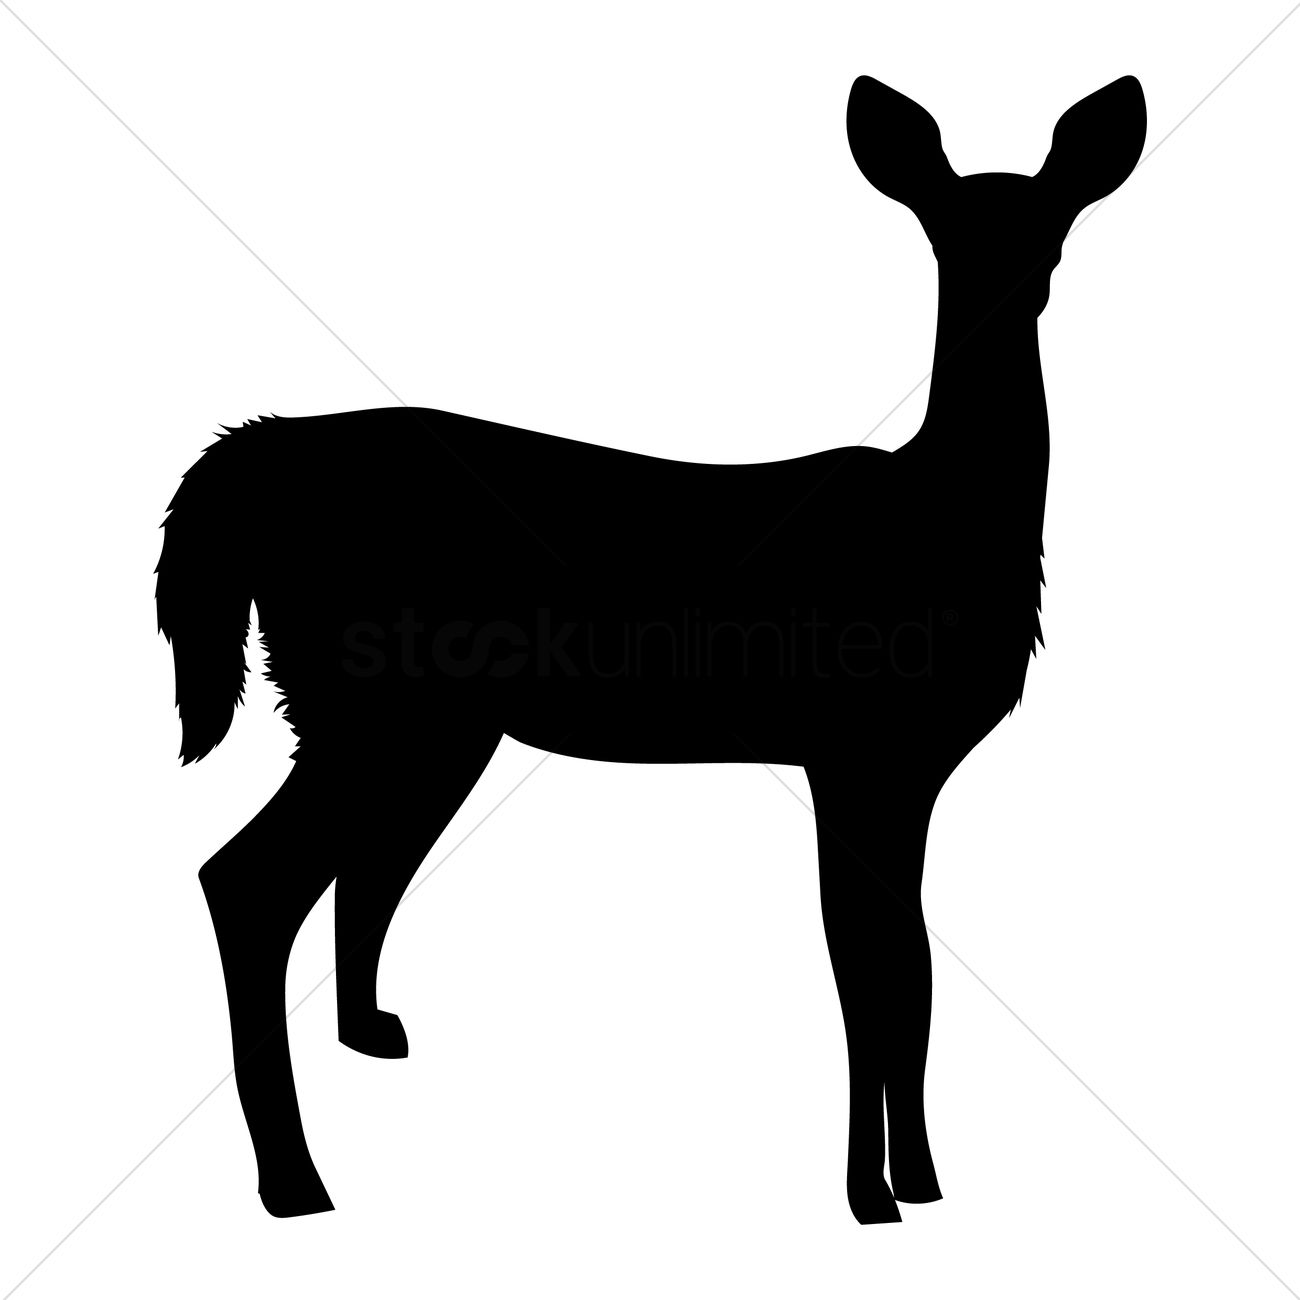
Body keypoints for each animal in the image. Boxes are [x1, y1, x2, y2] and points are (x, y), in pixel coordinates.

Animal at [156, 74, 1146, 1223]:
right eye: (944, 234)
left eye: (1054, 228)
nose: (1012, 293)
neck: (943, 525)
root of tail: (254, 465)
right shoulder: (857, 751)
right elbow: (866, 968)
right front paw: (873, 1194)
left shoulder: (899, 771)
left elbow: (912, 972)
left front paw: (923, 1179)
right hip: (371, 700)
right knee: (247, 880)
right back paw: (294, 1182)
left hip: (422, 721)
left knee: (352, 865)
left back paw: (369, 1040)